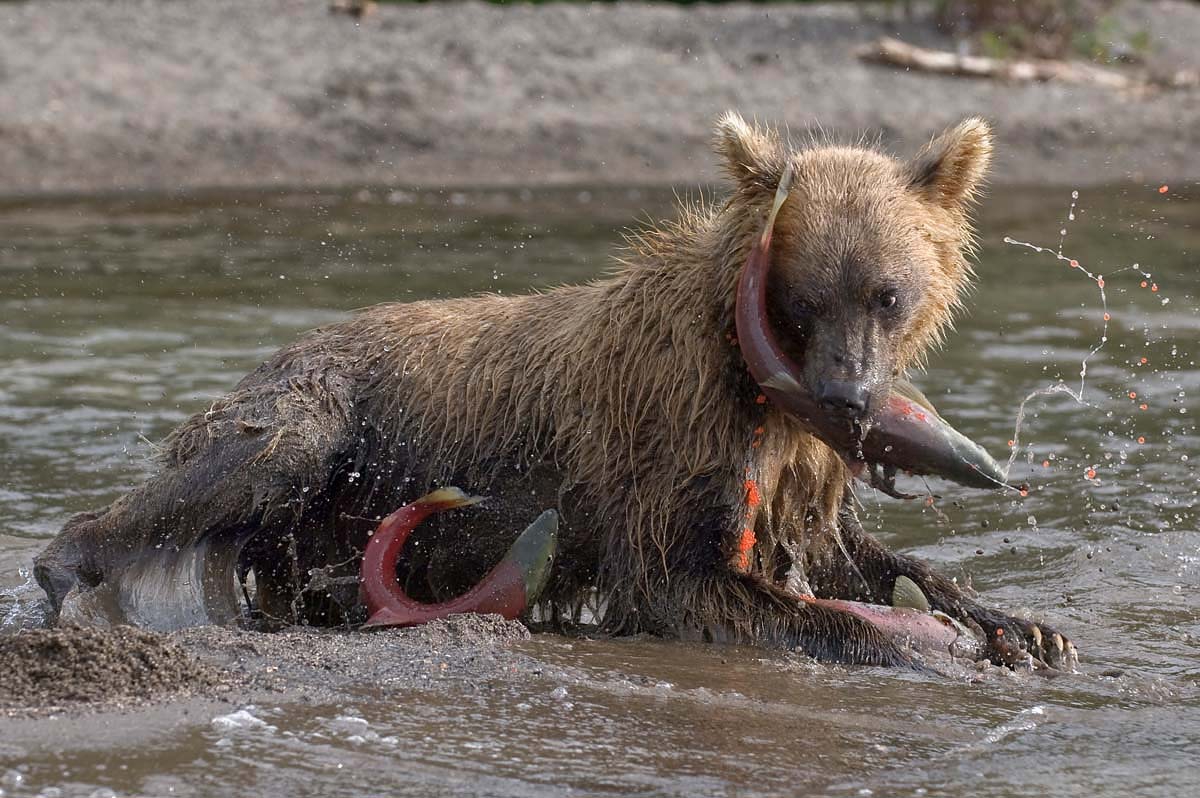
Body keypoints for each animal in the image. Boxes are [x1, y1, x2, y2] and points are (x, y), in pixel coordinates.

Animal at [32, 110, 1075, 667]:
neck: (749, 379)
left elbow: (847, 550)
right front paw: (918, 642)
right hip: (320, 413)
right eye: (803, 297)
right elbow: (691, 581)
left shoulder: (792, 466)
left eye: (886, 293)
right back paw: (64, 572)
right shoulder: (667, 436)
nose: (851, 397)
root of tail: (277, 348)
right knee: (235, 469)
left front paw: (1021, 626)